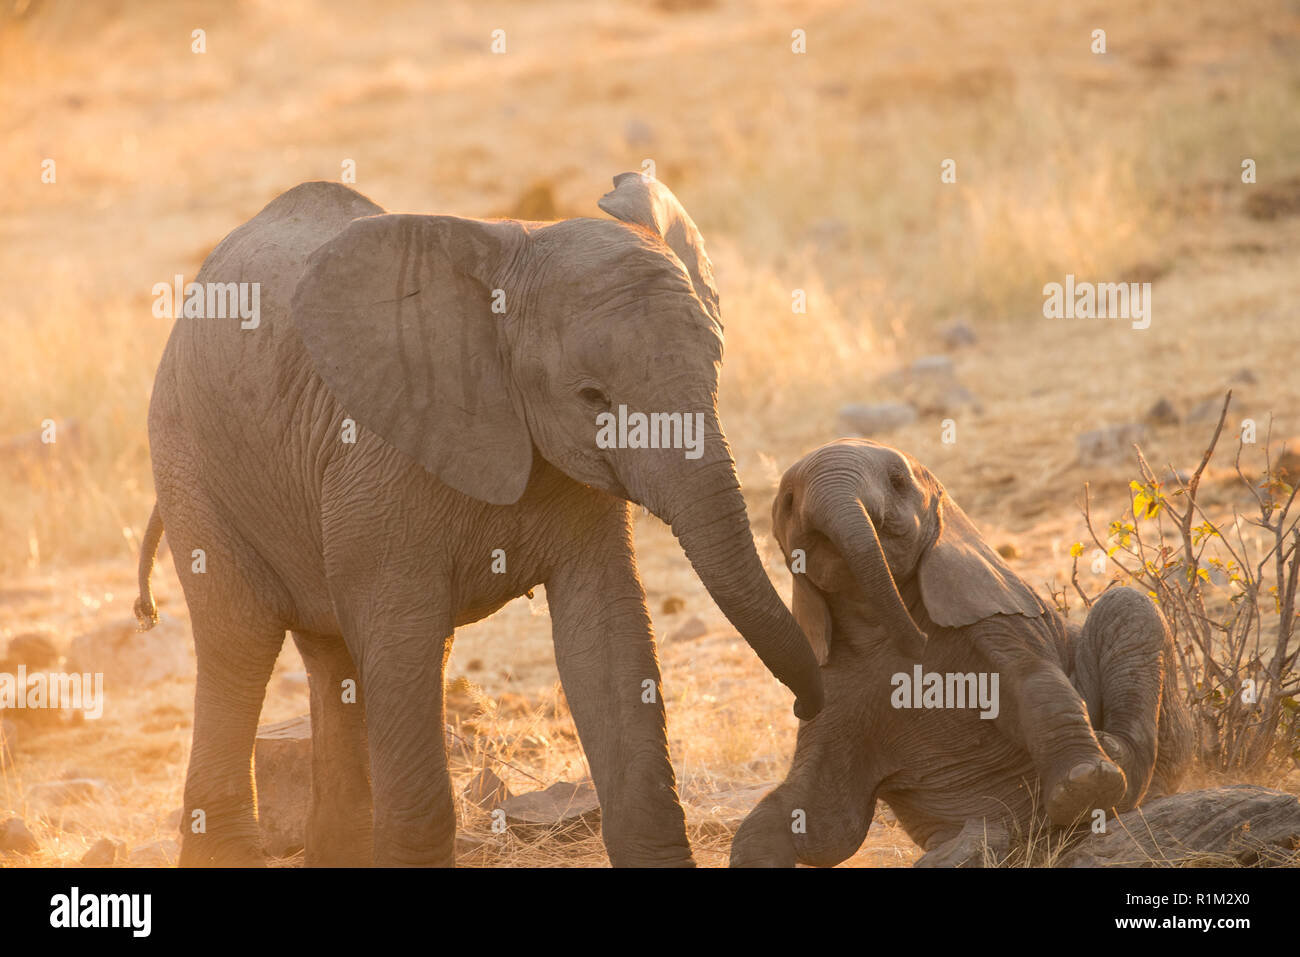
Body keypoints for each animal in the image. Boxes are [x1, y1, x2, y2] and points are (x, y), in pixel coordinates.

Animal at [134, 171, 821, 868]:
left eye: (717, 366)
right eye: (591, 397)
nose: (806, 705)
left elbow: (605, 636)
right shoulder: (381, 459)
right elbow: (402, 638)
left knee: (333, 661)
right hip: (190, 462)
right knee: (239, 641)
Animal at [728, 439, 1190, 868]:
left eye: (897, 481)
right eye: (789, 501)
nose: (798, 705)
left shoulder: (991, 616)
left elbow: (1034, 682)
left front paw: (1086, 784)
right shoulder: (834, 686)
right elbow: (823, 821)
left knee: (1128, 607)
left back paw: (1112, 752)